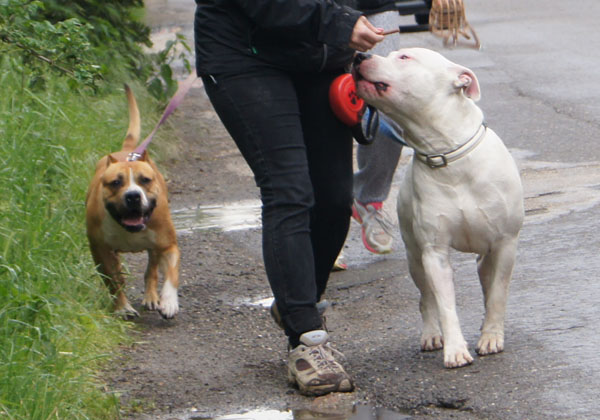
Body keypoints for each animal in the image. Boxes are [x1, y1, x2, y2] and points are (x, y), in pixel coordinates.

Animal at [85, 86, 178, 318]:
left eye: (145, 180)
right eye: (116, 182)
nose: (133, 195)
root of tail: (127, 151)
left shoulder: (168, 245)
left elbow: (171, 276)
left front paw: (169, 302)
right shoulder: (100, 250)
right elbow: (113, 281)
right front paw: (122, 307)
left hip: (155, 248)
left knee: (151, 271)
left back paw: (152, 297)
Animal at [354, 48, 524, 368]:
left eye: (404, 57)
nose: (359, 55)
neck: (446, 152)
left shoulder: (504, 243)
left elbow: (497, 294)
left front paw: (491, 336)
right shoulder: (435, 253)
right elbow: (445, 304)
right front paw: (455, 349)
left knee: (488, 285)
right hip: (414, 257)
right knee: (426, 299)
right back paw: (432, 334)